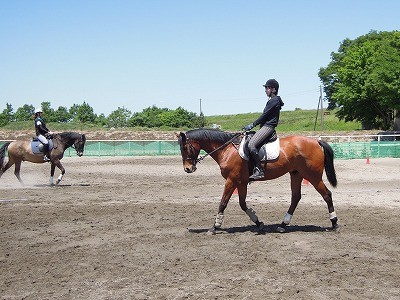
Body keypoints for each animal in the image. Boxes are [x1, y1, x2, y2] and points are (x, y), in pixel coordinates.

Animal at [176, 129, 338, 234]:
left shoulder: (231, 181)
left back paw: (334, 223)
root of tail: (316, 141)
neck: (227, 149)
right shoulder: (241, 182)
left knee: (327, 195)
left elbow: (223, 203)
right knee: (296, 197)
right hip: (296, 174)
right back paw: (283, 225)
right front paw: (258, 223)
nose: (188, 169)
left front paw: (214, 227)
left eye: (184, 147)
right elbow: (242, 204)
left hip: (312, 176)